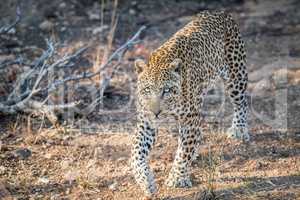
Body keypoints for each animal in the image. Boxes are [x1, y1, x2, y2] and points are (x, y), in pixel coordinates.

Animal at [130, 10, 250, 198]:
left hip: (236, 75)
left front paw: (177, 178)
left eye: (166, 90)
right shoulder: (146, 122)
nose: (156, 112)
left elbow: (183, 151)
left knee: (242, 102)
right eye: (147, 89)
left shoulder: (190, 120)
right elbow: (136, 152)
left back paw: (239, 129)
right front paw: (146, 181)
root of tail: (219, 12)